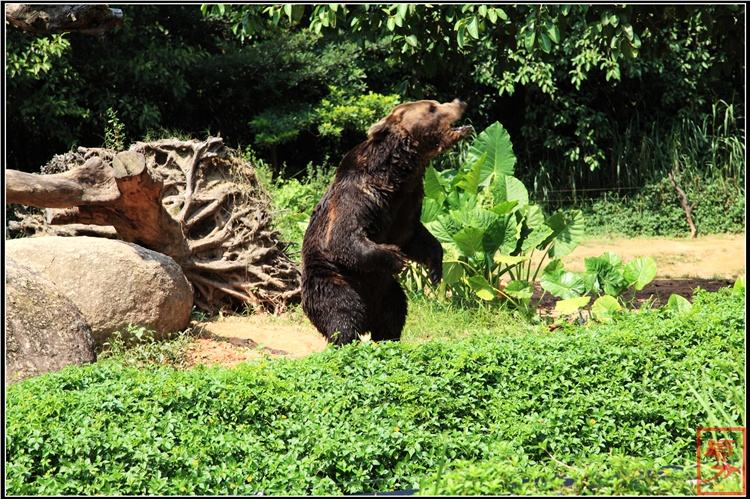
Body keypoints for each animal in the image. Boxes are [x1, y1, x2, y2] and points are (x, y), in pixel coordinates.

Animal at [300, 99, 470, 346]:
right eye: (432, 108)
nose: (460, 102)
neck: (396, 176)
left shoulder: (407, 205)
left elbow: (417, 238)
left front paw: (435, 271)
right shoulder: (359, 197)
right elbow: (344, 238)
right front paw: (395, 257)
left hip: (387, 290)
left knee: (394, 312)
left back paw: (387, 339)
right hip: (333, 280)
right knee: (342, 314)